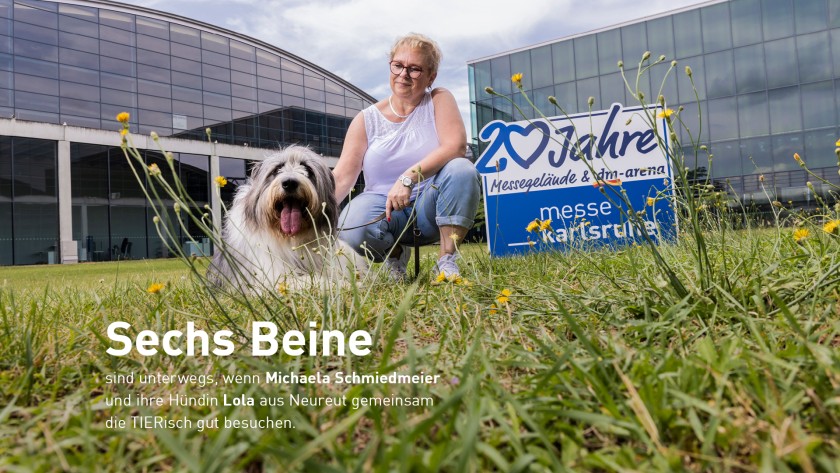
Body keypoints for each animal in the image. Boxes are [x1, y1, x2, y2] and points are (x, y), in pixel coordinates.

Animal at [209, 146, 364, 290]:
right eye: (277, 169)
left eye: (307, 169)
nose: (289, 182)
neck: (288, 237)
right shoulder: (271, 276)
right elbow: (309, 280)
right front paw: (344, 285)